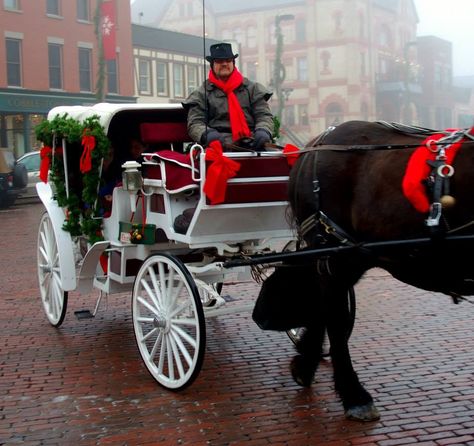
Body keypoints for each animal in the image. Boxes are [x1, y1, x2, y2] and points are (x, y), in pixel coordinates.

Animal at [286, 120, 474, 420]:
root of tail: (316, 143)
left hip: (353, 256)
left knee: (324, 308)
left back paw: (305, 365)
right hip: (334, 255)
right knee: (335, 319)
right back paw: (354, 395)